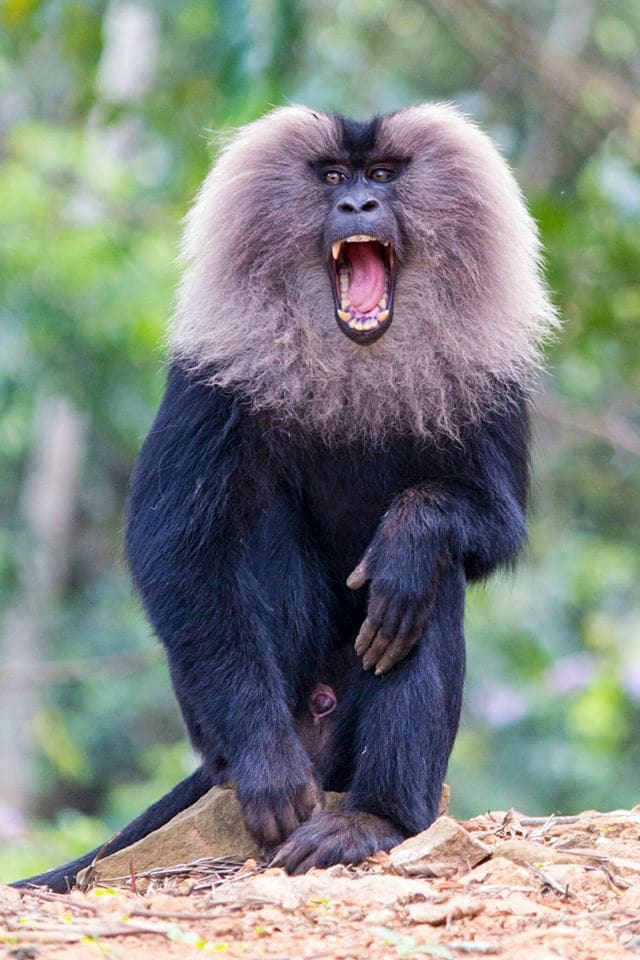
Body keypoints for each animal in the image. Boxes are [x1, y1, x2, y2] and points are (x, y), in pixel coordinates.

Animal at [13, 101, 556, 888]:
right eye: (332, 177)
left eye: (382, 176)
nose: (357, 205)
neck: (358, 356)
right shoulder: (208, 367)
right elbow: (174, 547)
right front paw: (267, 768)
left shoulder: (491, 372)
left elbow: (490, 527)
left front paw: (412, 535)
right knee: (249, 529)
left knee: (429, 583)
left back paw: (376, 817)